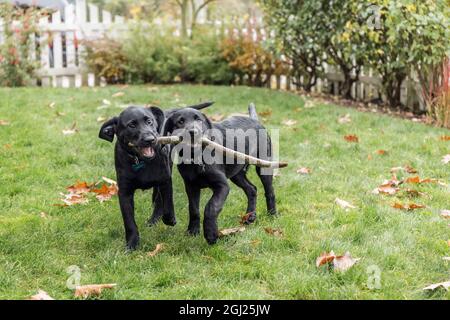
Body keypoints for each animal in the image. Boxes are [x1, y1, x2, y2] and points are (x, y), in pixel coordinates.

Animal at [98, 100, 213, 250]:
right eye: (131, 125)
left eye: (149, 121)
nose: (150, 139)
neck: (142, 161)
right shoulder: (124, 192)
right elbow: (129, 221)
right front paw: (132, 244)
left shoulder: (165, 180)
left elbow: (167, 205)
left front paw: (170, 220)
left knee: (159, 200)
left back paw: (155, 219)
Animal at [163, 104, 276, 244]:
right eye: (180, 121)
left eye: (198, 119)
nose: (193, 132)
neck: (197, 157)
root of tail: (255, 120)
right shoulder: (191, 186)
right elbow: (193, 209)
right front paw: (193, 231)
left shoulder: (222, 185)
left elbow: (211, 207)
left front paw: (211, 234)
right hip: (237, 174)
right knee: (252, 189)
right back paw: (250, 216)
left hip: (263, 166)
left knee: (269, 191)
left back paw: (272, 214)